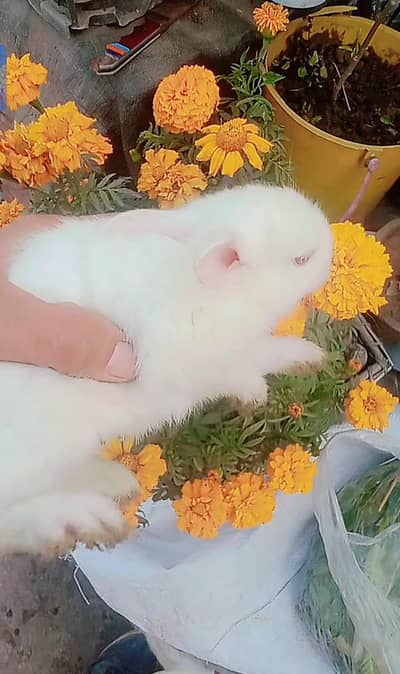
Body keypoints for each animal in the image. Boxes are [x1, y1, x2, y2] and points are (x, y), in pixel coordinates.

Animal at [0, 184, 333, 556]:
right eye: (302, 259)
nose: (332, 246)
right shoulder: (185, 363)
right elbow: (236, 370)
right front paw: (254, 393)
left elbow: (264, 352)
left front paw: (307, 357)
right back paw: (78, 520)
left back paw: (116, 483)